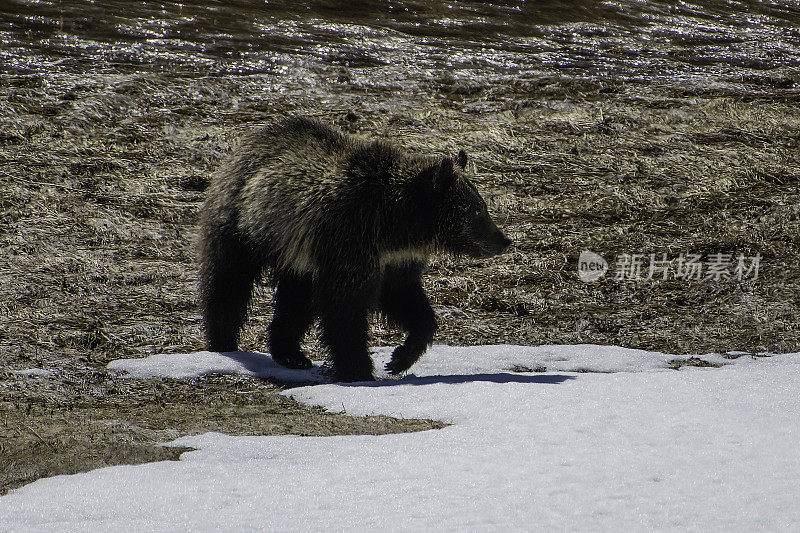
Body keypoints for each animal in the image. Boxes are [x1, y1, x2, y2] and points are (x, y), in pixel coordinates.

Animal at [200, 118, 512, 380]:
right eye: (476, 210)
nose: (503, 240)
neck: (394, 226)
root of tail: (253, 136)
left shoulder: (393, 260)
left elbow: (406, 299)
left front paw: (400, 357)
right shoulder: (349, 240)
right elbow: (345, 307)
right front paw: (358, 369)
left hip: (297, 254)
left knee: (295, 298)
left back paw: (291, 354)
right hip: (243, 223)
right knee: (228, 280)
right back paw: (223, 341)